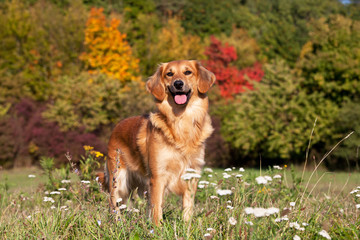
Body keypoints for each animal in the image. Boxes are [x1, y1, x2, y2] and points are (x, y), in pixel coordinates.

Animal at [97, 60, 215, 225]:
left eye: (188, 72)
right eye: (169, 74)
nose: (178, 84)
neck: (181, 120)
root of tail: (118, 125)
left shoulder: (191, 175)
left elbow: (187, 208)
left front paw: (186, 227)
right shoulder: (158, 177)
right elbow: (156, 210)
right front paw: (157, 228)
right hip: (118, 178)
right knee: (114, 203)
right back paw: (118, 223)